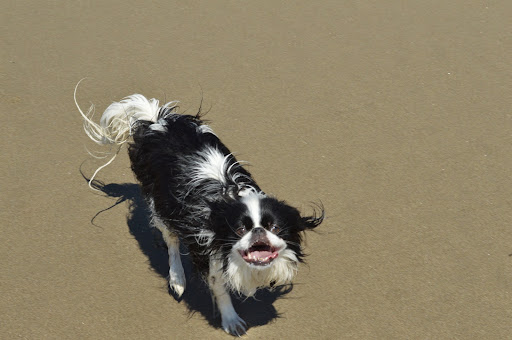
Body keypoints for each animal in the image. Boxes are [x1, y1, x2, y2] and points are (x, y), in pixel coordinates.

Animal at [75, 89, 324, 336]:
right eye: (240, 229)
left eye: (275, 228)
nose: (258, 231)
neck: (230, 197)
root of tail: (157, 121)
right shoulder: (209, 256)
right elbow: (220, 289)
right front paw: (231, 320)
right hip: (161, 204)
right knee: (172, 242)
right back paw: (177, 278)